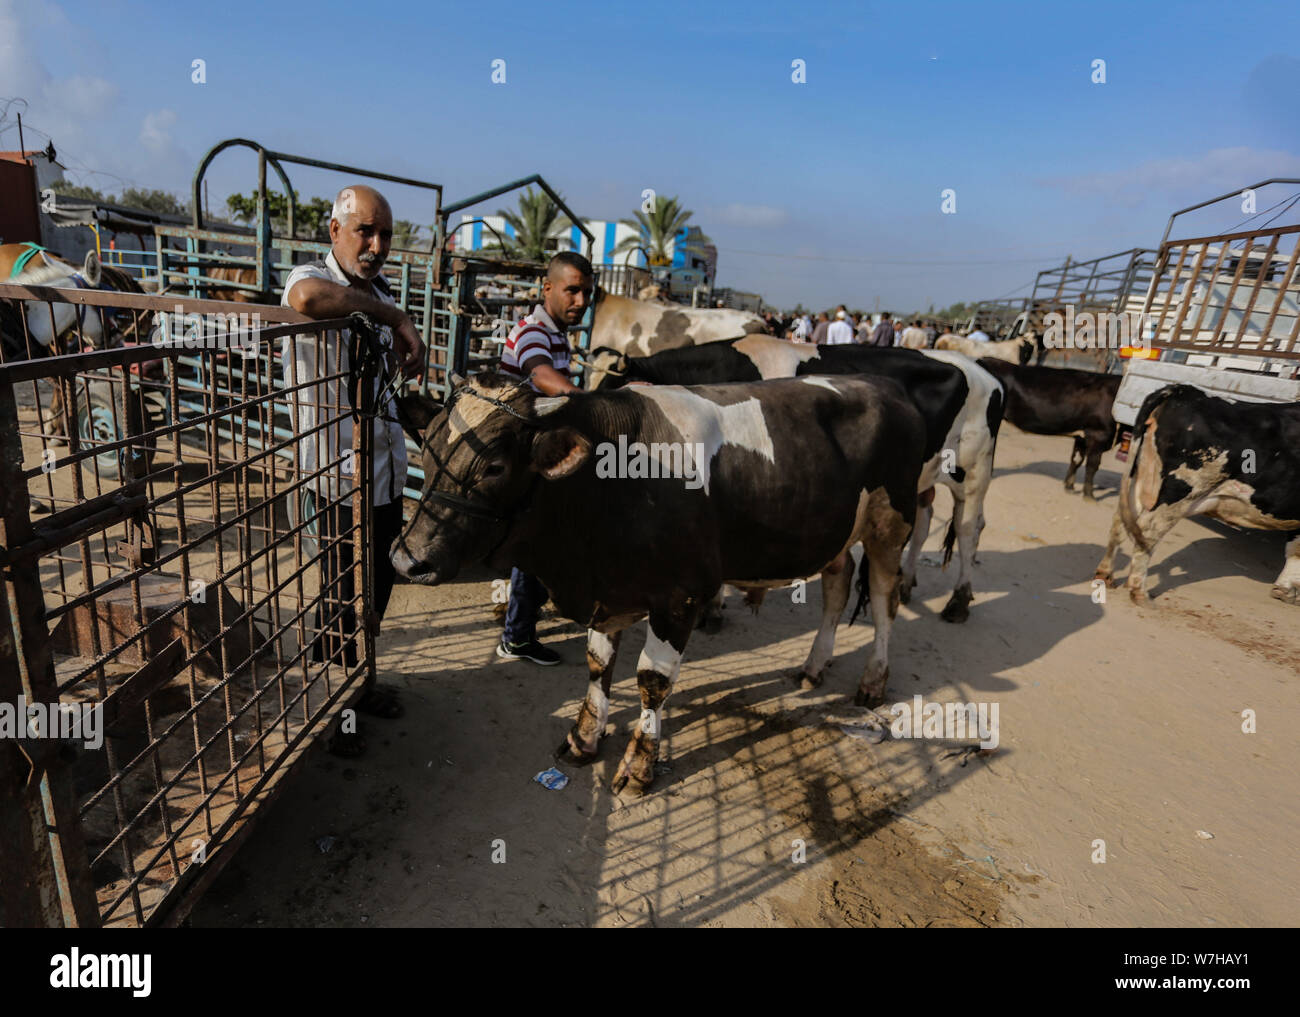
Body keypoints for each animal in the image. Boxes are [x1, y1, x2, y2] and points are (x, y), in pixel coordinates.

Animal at [387, 374, 925, 795]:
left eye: (495, 467)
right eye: (427, 446)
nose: (406, 558)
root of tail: (883, 384)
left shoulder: (680, 597)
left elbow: (651, 681)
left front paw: (640, 765)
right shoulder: (609, 592)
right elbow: (598, 664)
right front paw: (585, 738)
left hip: (890, 525)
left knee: (884, 601)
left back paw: (873, 680)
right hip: (836, 534)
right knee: (837, 586)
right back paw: (814, 666)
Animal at [592, 335, 1003, 621]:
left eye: (608, 389)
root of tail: (982, 369)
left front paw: (714, 607)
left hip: (973, 471)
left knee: (968, 528)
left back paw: (958, 602)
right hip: (920, 478)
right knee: (928, 522)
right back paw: (908, 582)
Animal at [1097, 384, 1300, 606]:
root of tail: (1182, 390)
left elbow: (1294, 550)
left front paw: (1285, 589)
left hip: (1142, 478)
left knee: (1121, 521)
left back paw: (1106, 575)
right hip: (1180, 492)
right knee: (1148, 531)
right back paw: (1139, 593)